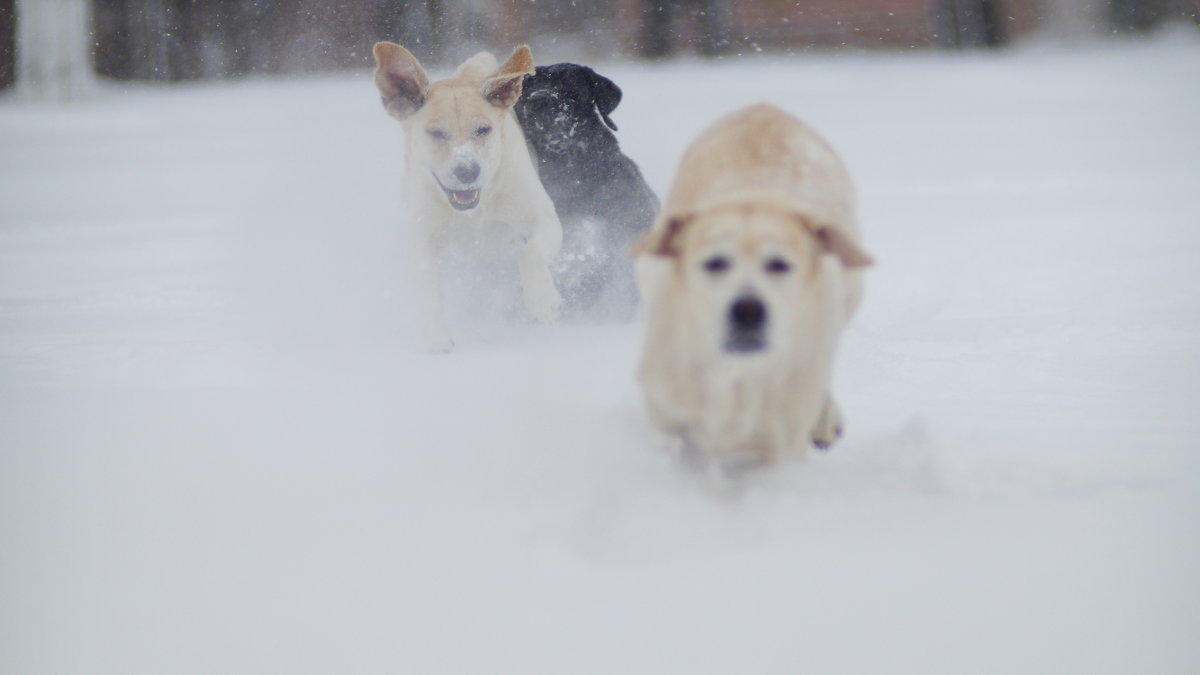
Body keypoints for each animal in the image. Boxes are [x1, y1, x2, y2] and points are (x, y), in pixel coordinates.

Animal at [372, 42, 564, 348]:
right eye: (436, 132)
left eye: (483, 129)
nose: (466, 171)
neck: (476, 212)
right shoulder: (422, 237)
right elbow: (428, 286)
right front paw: (436, 338)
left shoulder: (541, 217)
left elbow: (530, 253)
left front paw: (542, 301)